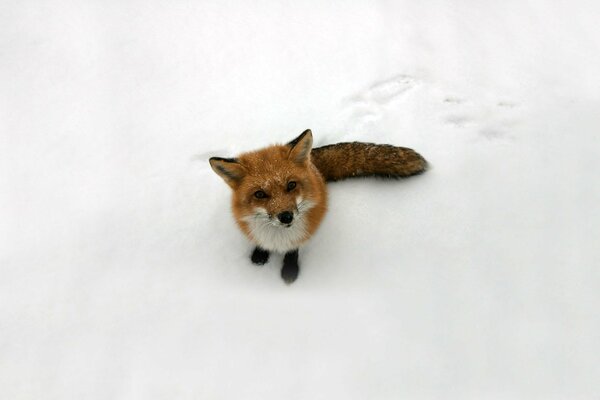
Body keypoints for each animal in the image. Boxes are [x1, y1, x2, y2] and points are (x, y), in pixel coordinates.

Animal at [211, 130, 426, 282]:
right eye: (260, 194)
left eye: (291, 185)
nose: (286, 217)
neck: (278, 238)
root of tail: (312, 163)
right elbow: (260, 243)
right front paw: (259, 256)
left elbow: (293, 251)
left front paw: (290, 271)